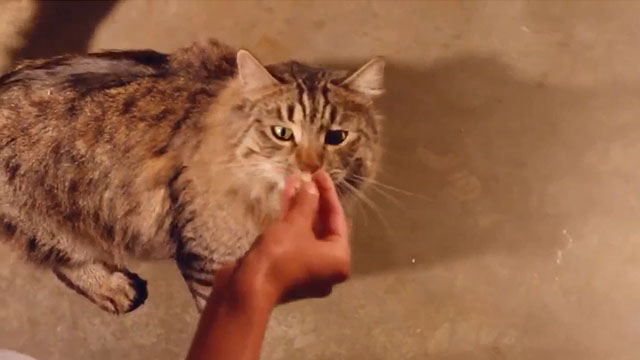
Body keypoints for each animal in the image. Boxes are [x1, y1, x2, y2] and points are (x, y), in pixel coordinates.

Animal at [0, 39, 382, 314]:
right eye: (282, 133)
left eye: (336, 137)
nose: (310, 167)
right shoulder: (203, 258)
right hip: (52, 223)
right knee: (61, 259)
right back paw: (112, 288)